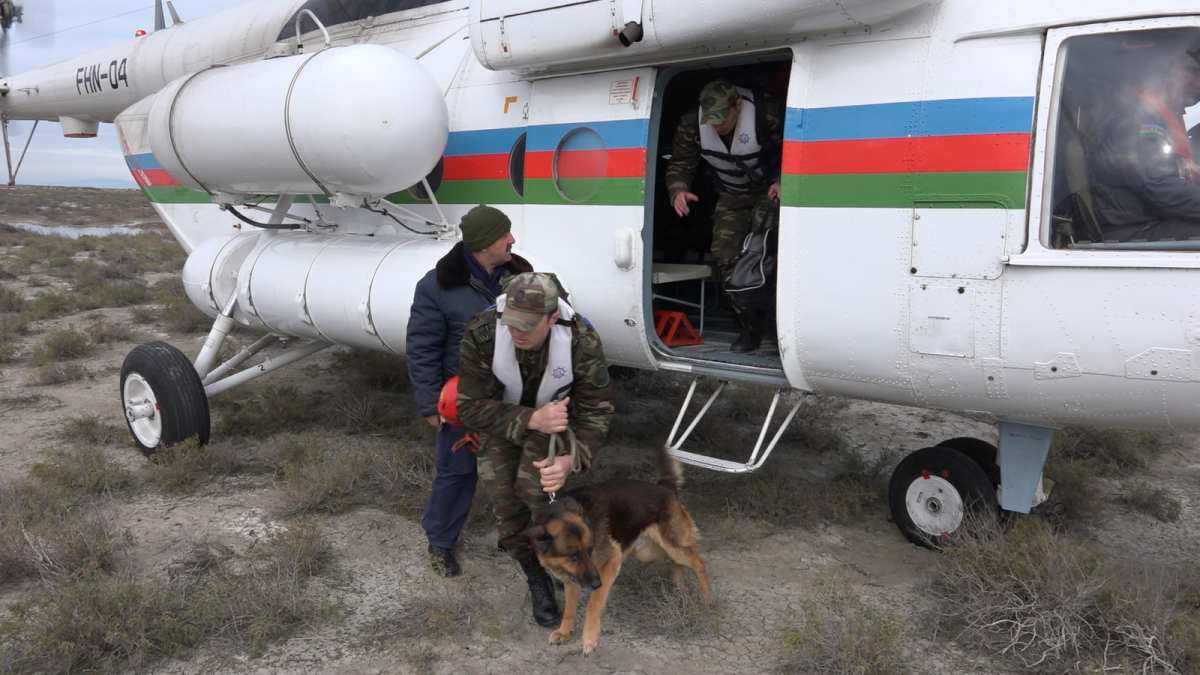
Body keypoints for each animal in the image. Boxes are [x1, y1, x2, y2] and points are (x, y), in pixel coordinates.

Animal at [523, 444, 705, 653]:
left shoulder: (611, 561)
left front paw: (590, 637)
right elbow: (569, 609)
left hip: (671, 544)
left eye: (591, 549)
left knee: (698, 561)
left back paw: (706, 598)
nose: (596, 583)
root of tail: (664, 487)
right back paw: (677, 580)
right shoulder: (573, 579)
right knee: (677, 559)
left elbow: (594, 602)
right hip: (648, 552)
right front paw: (564, 631)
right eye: (572, 555)